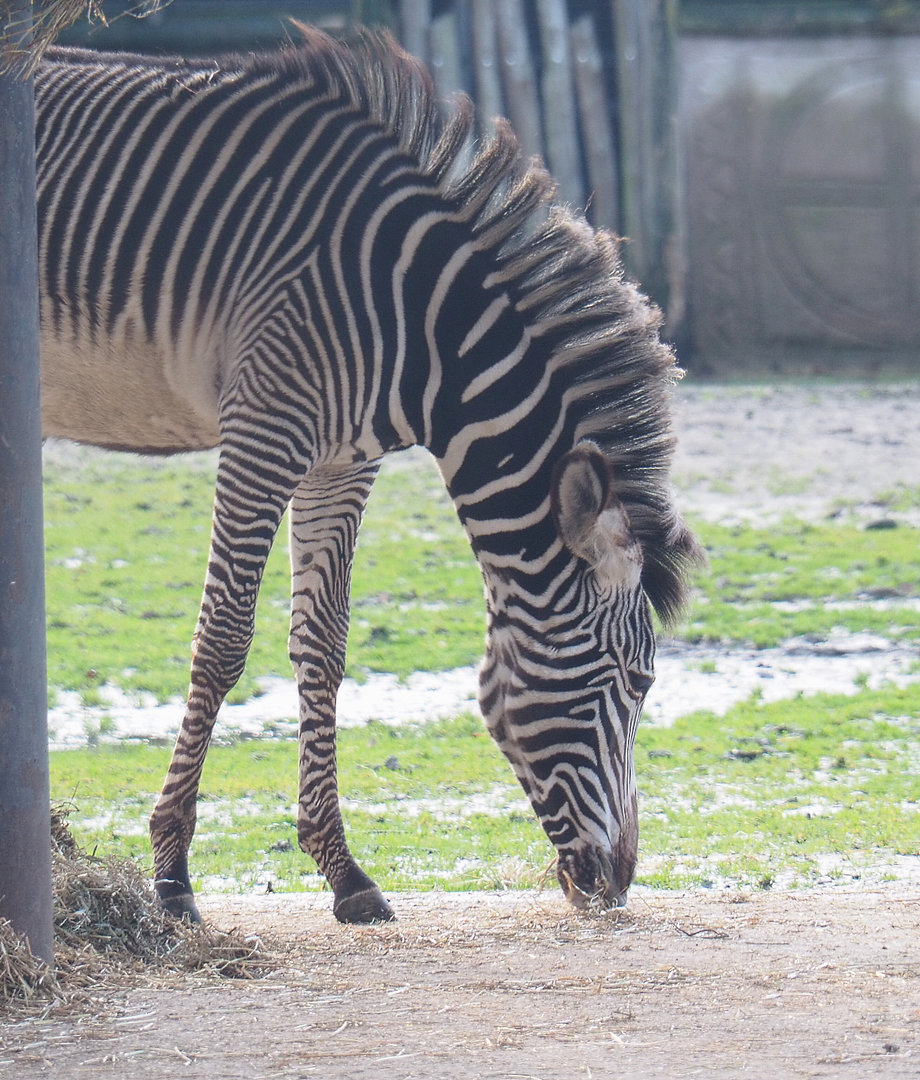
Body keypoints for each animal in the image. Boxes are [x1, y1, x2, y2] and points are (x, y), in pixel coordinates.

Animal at [36, 27, 702, 924]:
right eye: (637, 679)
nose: (619, 885)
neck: (424, 328)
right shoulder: (264, 431)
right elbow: (224, 639)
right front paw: (171, 874)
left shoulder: (341, 460)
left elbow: (323, 644)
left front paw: (344, 871)